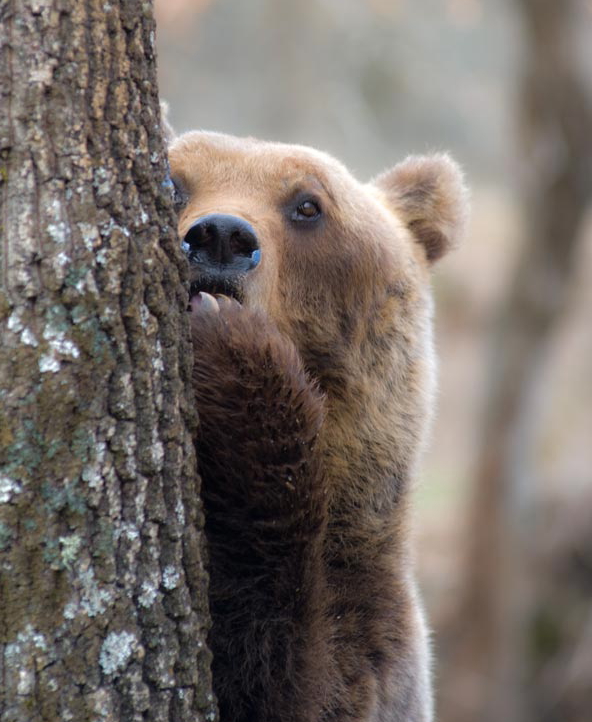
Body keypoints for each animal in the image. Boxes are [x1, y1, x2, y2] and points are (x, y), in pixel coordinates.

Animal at [167, 130, 468, 722]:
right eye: (174, 181)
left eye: (308, 205)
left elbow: (285, 677)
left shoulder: (371, 640)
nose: (220, 236)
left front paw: (230, 341)